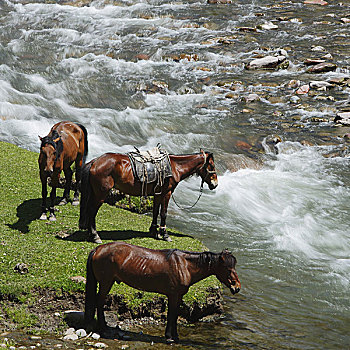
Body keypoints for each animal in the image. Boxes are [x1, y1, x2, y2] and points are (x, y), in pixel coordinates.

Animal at [78, 148, 219, 243]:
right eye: (212, 165)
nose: (215, 184)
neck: (175, 167)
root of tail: (94, 162)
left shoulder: (158, 194)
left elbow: (156, 211)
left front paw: (154, 232)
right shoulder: (166, 193)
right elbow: (163, 213)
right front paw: (165, 234)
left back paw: (91, 234)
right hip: (100, 194)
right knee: (92, 211)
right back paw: (95, 236)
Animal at [84, 242, 241, 344]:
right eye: (228, 269)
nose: (237, 287)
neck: (185, 266)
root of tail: (97, 249)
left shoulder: (178, 296)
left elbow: (175, 314)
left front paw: (175, 336)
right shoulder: (172, 295)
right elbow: (171, 315)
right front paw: (170, 337)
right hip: (106, 282)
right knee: (99, 302)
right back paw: (104, 329)